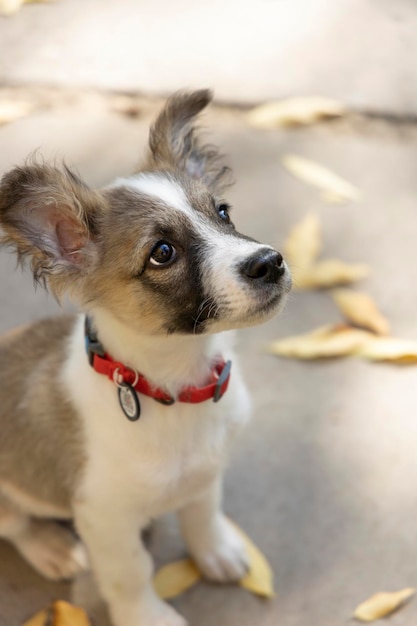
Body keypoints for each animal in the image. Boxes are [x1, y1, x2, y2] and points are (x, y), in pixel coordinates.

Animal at [0, 89, 290, 624]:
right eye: (162, 252)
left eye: (223, 212)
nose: (270, 263)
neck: (177, 387)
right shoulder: (105, 516)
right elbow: (130, 573)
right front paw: (148, 616)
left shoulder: (207, 471)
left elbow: (202, 512)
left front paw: (215, 551)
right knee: (15, 522)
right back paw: (52, 548)